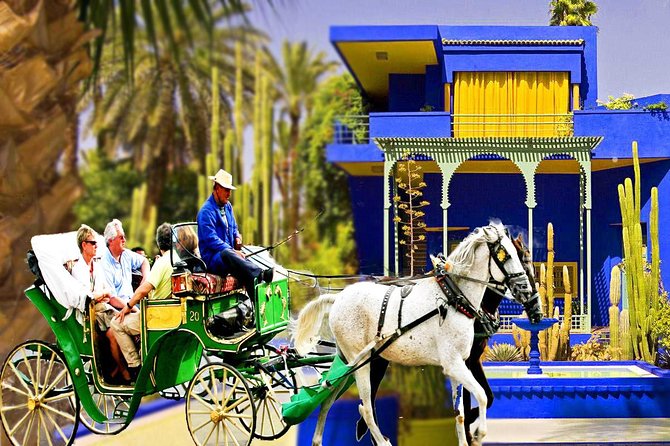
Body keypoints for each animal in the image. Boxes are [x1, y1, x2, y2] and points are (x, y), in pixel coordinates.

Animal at [293, 222, 542, 446]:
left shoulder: (461, 363)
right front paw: (479, 433)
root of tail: (338, 298)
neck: (454, 297)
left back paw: (318, 440)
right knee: (365, 407)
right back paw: (381, 441)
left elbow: (460, 413)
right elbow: (481, 395)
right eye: (507, 255)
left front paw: (468, 435)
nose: (527, 292)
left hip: (350, 361)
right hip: (362, 361)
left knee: (327, 398)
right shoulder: (454, 364)